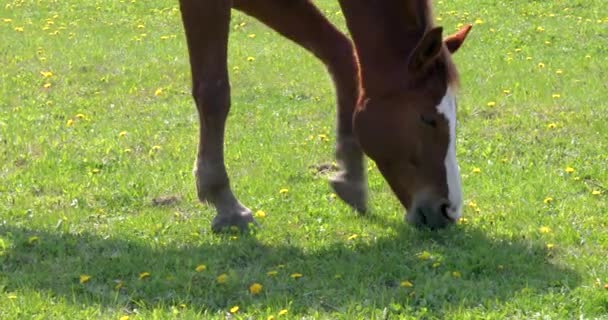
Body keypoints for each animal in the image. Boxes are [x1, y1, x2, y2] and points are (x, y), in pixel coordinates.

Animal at [178, 0, 472, 231]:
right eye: (427, 119)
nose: (448, 210)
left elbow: (342, 53)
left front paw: (351, 177)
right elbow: (214, 93)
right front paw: (225, 203)